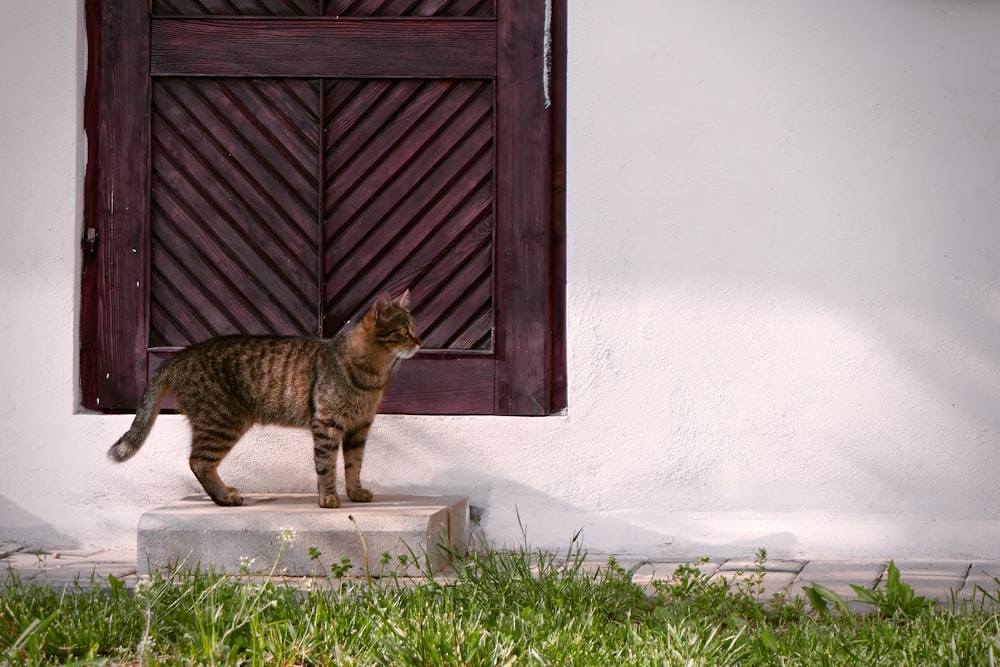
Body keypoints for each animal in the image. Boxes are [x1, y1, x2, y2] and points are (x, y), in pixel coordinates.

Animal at [107, 290, 420, 506]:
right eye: (404, 331)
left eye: (415, 328)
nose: (420, 341)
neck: (373, 373)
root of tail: (179, 356)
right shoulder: (327, 424)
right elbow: (326, 466)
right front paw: (329, 497)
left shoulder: (359, 427)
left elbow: (354, 465)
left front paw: (355, 492)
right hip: (221, 423)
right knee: (198, 461)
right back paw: (224, 497)